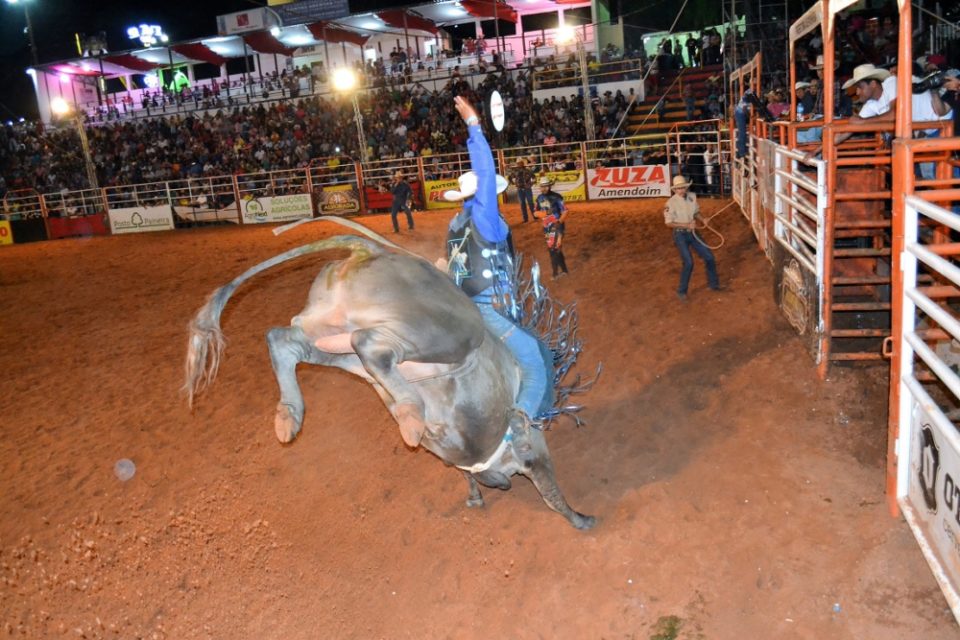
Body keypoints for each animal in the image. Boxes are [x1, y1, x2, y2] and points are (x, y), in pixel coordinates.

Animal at [184, 228, 596, 528]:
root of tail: (370, 251)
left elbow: (468, 473)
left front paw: (476, 494)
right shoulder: (531, 448)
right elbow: (549, 491)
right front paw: (581, 519)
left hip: (329, 335)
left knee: (284, 340)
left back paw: (290, 416)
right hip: (444, 333)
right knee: (372, 346)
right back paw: (409, 414)